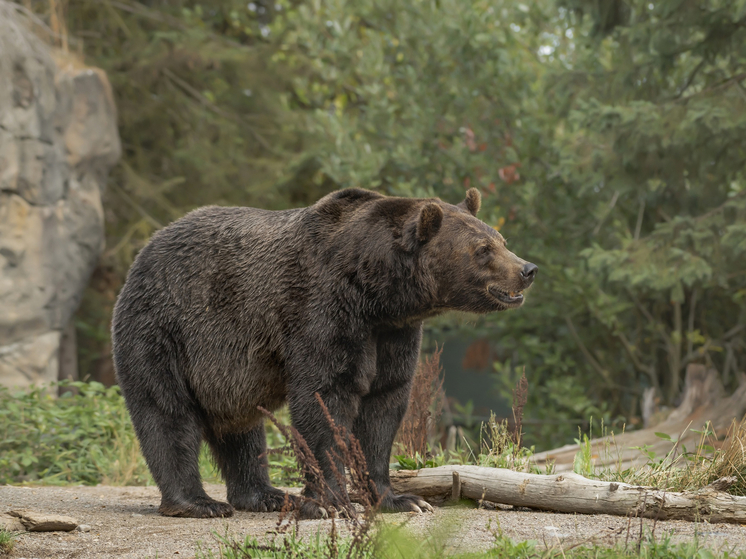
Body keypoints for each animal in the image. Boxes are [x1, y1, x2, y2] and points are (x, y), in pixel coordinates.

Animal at [110, 189, 536, 520]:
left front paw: (400, 499)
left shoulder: (393, 334)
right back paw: (198, 503)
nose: (527, 269)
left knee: (242, 429)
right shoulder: (322, 309)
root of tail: (145, 250)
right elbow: (324, 399)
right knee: (167, 412)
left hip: (226, 372)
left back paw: (265, 495)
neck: (376, 292)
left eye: (501, 239)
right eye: (482, 249)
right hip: (165, 328)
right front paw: (331, 502)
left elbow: (384, 406)